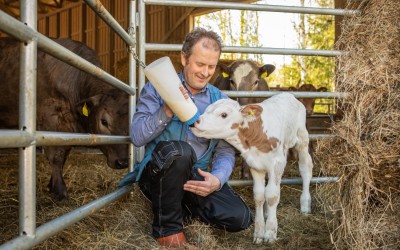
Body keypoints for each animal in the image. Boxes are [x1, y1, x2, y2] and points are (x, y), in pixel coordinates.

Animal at [0, 37, 128, 201]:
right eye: (104, 121)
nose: (123, 162)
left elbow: (64, 155)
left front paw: (52, 185)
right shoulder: (50, 122)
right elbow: (56, 156)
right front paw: (60, 191)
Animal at [192, 93, 314, 243]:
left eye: (224, 114)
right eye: (206, 109)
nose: (196, 121)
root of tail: (288, 94)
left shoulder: (277, 163)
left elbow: (272, 196)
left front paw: (270, 232)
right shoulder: (255, 165)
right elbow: (259, 196)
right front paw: (259, 232)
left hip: (302, 138)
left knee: (305, 168)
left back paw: (305, 205)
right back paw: (267, 212)